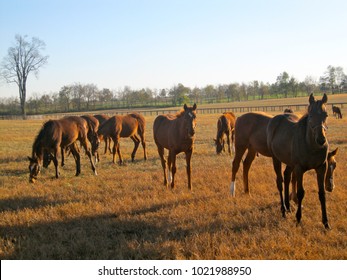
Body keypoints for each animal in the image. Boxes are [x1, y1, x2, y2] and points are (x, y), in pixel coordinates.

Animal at [268, 93, 334, 229]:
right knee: (280, 182)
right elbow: (300, 193)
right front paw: (298, 219)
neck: (311, 146)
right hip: (276, 159)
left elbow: (322, 194)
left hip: (289, 162)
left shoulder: (321, 167)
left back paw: (288, 207)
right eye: (311, 115)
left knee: (286, 176)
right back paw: (283, 210)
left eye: (326, 115)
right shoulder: (299, 169)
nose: (321, 140)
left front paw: (326, 222)